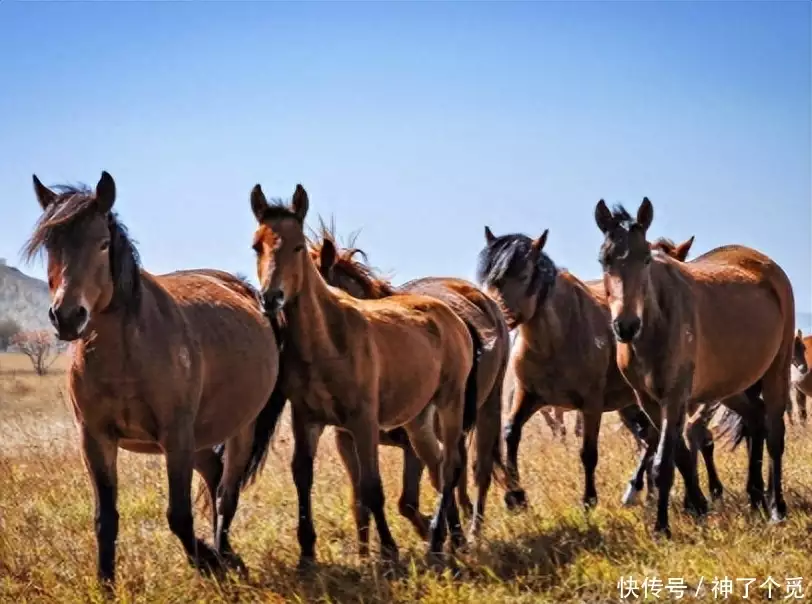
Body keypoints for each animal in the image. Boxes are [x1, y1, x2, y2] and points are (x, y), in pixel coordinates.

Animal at [24, 172, 286, 588]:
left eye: (102, 243)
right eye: (51, 245)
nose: (66, 316)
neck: (126, 356)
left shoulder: (174, 435)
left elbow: (178, 515)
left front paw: (207, 561)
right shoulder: (95, 438)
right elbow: (105, 519)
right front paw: (106, 585)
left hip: (238, 428)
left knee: (226, 493)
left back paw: (227, 556)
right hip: (200, 437)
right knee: (214, 477)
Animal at [249, 184, 482, 568]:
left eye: (297, 246)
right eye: (258, 245)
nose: (272, 298)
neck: (326, 342)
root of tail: (453, 316)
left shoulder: (363, 421)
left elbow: (372, 488)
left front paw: (388, 552)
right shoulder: (308, 420)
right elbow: (305, 477)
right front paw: (307, 555)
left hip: (451, 401)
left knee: (450, 466)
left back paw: (437, 541)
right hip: (418, 420)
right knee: (436, 466)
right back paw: (449, 539)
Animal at [308, 226, 510, 536]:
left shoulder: (412, 443)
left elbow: (409, 501)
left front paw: (435, 529)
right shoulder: (348, 441)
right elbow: (362, 505)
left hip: (489, 404)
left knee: (480, 469)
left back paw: (474, 529)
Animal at [472, 226, 708, 516]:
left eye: (524, 275)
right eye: (489, 277)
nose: (494, 319)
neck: (555, 338)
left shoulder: (591, 403)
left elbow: (588, 452)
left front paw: (589, 500)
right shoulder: (529, 397)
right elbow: (510, 433)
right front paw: (516, 497)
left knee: (652, 439)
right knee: (648, 439)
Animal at [592, 197, 796, 532]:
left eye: (645, 259)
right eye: (604, 259)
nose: (626, 326)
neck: (655, 325)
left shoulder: (676, 396)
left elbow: (665, 461)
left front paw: (662, 527)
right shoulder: (650, 401)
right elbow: (681, 455)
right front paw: (698, 506)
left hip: (776, 370)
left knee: (775, 434)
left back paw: (777, 507)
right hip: (731, 385)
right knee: (756, 418)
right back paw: (755, 497)